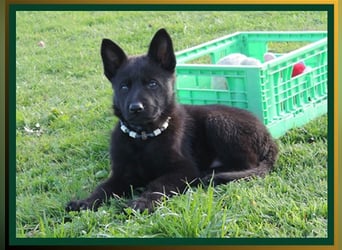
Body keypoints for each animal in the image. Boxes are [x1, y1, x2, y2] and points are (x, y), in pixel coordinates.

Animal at [66, 28, 278, 213]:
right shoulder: (121, 174)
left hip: (218, 121)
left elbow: (159, 184)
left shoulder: (184, 169)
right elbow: (103, 188)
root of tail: (269, 137)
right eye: (124, 87)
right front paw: (85, 202)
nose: (136, 108)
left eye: (153, 84)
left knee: (248, 164)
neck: (144, 138)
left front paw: (143, 202)